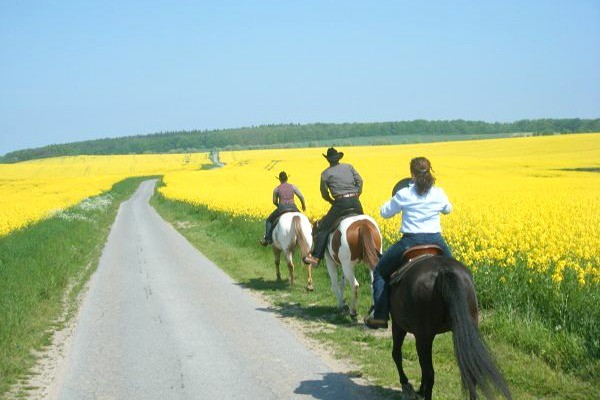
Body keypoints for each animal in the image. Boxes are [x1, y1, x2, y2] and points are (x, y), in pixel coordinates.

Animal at [390, 256, 510, 400]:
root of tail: (444, 270)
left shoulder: (398, 326)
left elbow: (396, 354)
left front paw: (406, 384)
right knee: (469, 373)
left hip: (422, 337)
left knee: (429, 372)